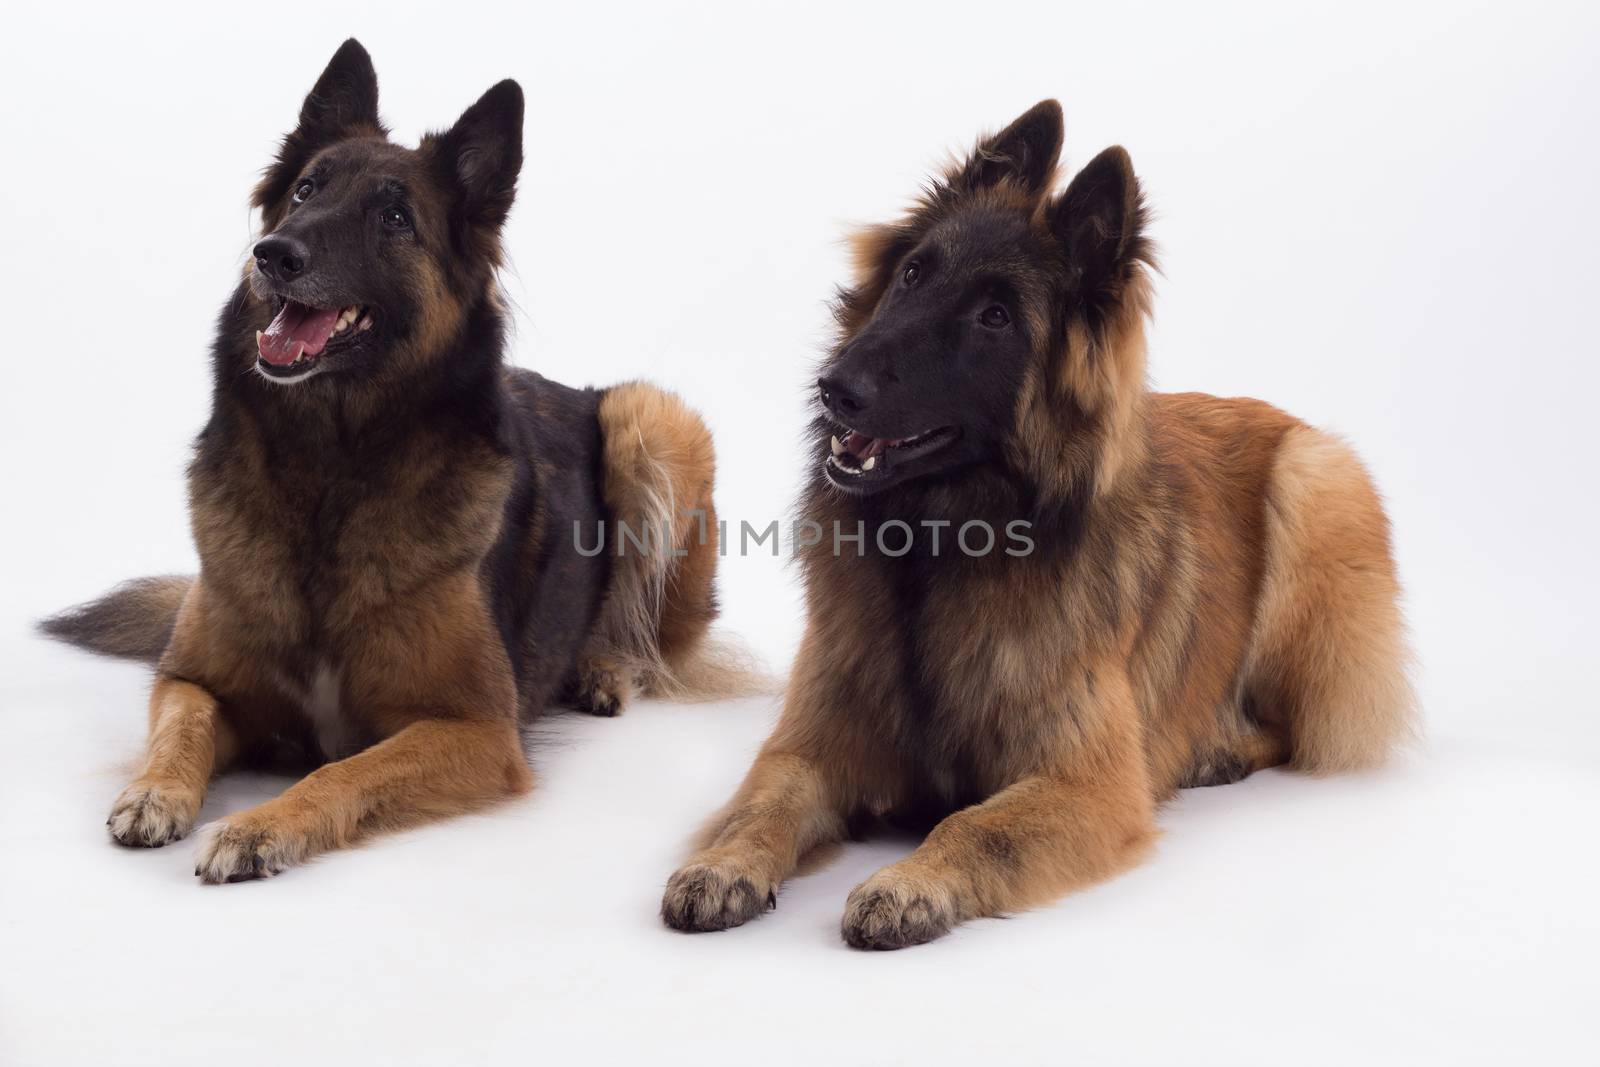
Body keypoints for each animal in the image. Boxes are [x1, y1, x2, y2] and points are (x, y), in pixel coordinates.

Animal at [40, 37, 732, 883]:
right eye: (306, 190)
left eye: (395, 218)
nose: (272, 253)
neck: (328, 470)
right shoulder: (193, 676)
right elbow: (181, 725)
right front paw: (155, 790)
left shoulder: (474, 730)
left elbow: (341, 771)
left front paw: (258, 825)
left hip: (652, 419)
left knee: (655, 639)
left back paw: (603, 666)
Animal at [659, 102, 1414, 953]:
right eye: (913, 274)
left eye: (994, 317)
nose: (834, 386)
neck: (935, 547)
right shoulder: (810, 742)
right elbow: (763, 802)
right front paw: (723, 865)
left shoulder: (1088, 783)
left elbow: (973, 825)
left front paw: (909, 882)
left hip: (1314, 483)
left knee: (1293, 723)